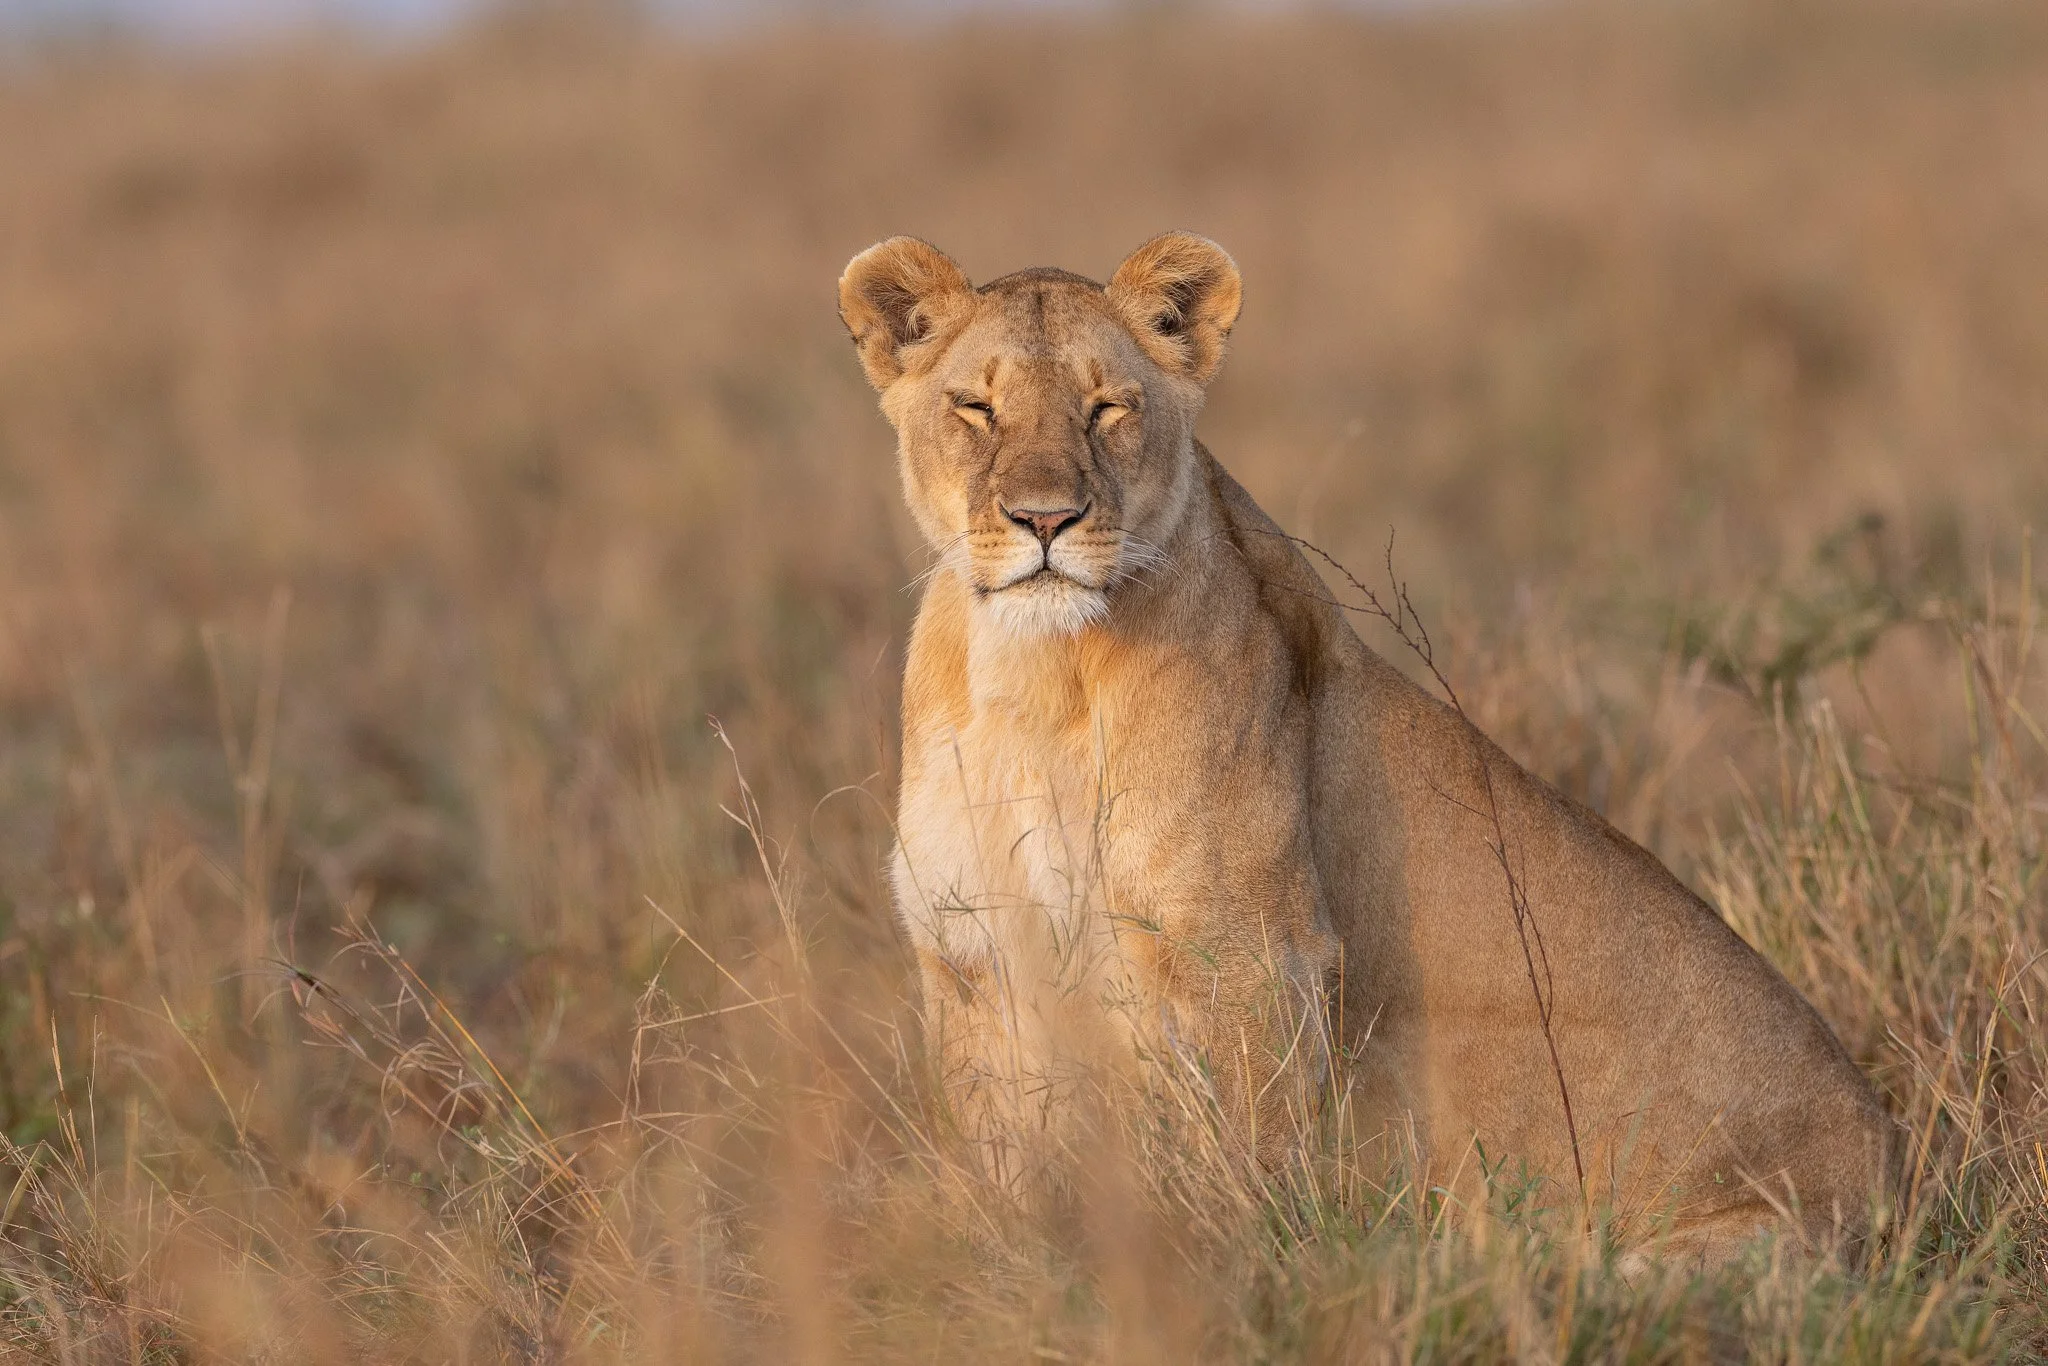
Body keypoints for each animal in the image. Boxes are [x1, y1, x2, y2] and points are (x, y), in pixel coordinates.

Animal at [838, 231, 1895, 1260]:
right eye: (976, 407)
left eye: (1109, 408)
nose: (1046, 519)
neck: (1033, 674)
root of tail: (1899, 1161)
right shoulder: (970, 954)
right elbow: (999, 1171)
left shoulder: (1255, 955)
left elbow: (1245, 1166)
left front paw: (1237, 1269)